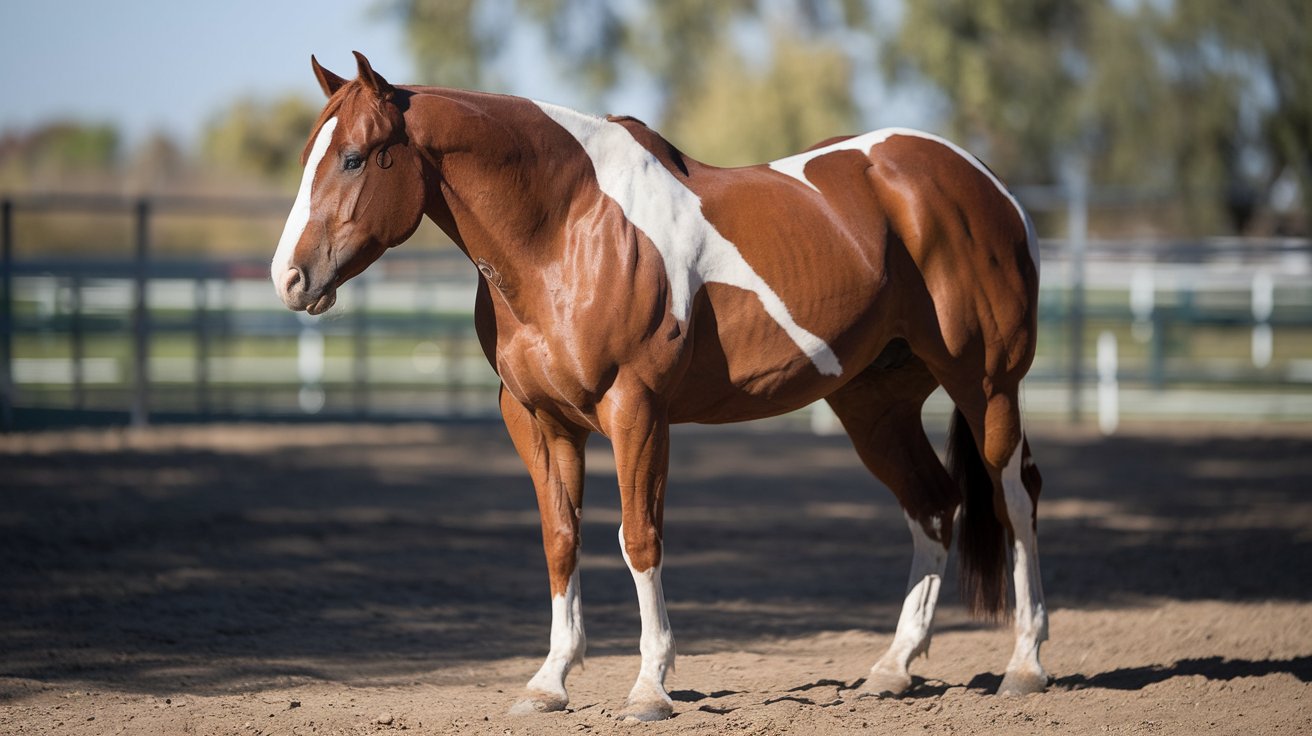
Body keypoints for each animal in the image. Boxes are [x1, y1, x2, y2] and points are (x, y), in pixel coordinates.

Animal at [271, 52, 1048, 721]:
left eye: (353, 157)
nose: (290, 278)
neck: (567, 230)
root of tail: (986, 186)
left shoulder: (636, 410)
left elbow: (639, 537)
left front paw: (649, 687)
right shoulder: (538, 419)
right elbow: (561, 537)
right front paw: (549, 682)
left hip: (987, 383)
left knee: (1014, 497)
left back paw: (1025, 665)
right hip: (873, 404)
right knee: (934, 505)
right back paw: (893, 670)